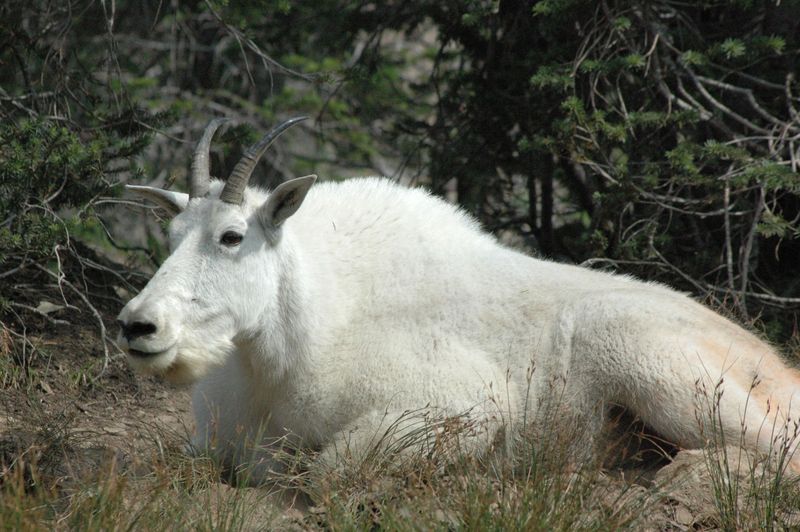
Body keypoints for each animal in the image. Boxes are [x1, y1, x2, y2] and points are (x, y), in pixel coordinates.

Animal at [118, 117, 800, 483]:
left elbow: (325, 470)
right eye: (172, 236)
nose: (138, 326)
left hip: (666, 374)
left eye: (232, 237)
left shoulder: (459, 408)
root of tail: (775, 367)